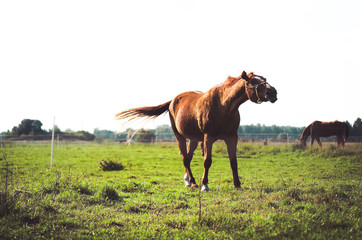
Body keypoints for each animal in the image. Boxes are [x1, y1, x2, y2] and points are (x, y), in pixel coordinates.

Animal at [115, 70, 278, 190]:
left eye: (264, 79)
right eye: (253, 82)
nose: (273, 93)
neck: (224, 106)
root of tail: (172, 101)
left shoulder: (232, 137)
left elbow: (233, 161)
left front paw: (237, 185)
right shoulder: (208, 137)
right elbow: (207, 161)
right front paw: (205, 184)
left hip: (193, 139)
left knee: (188, 158)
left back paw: (188, 180)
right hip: (179, 136)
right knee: (184, 158)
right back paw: (192, 182)